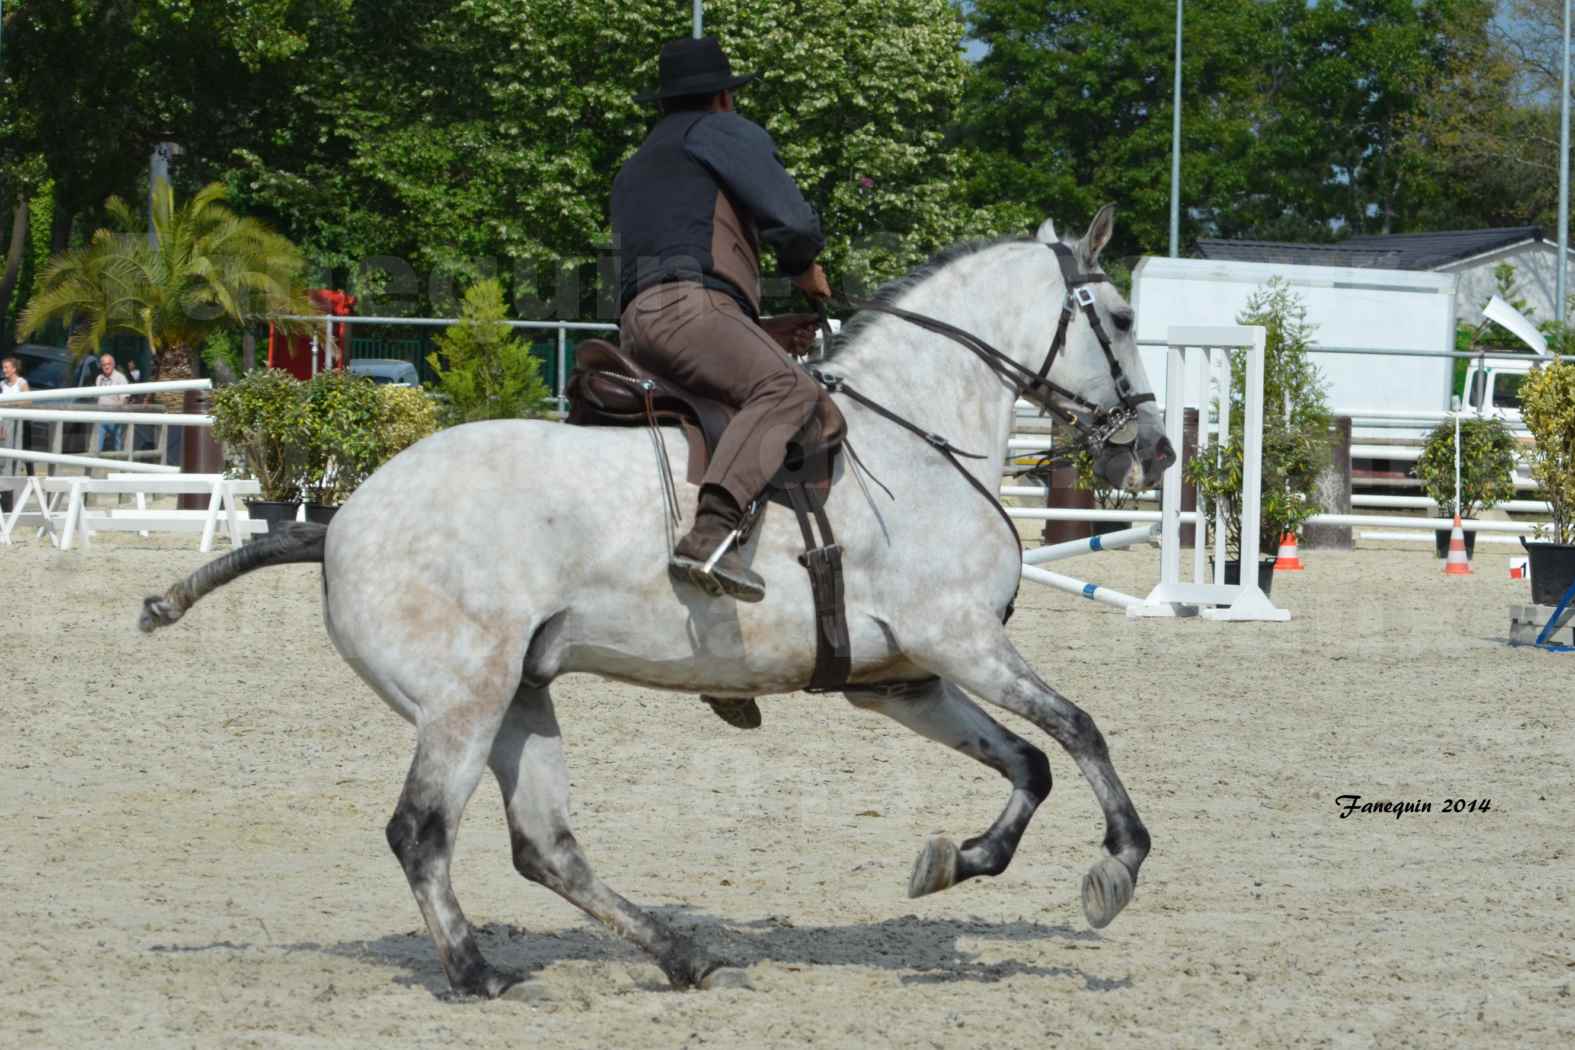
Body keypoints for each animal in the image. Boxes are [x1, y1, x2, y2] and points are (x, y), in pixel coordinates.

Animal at [144, 207, 1171, 1001]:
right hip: (463, 701)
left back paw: (682, 955)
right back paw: (480, 974)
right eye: (1121, 318)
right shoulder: (958, 642)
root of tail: (344, 520)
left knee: (545, 847)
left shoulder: (903, 679)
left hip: (521, 699)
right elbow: (1079, 731)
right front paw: (1116, 864)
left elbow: (1030, 763)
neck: (914, 440)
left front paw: (956, 861)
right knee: (423, 832)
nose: (1153, 450)